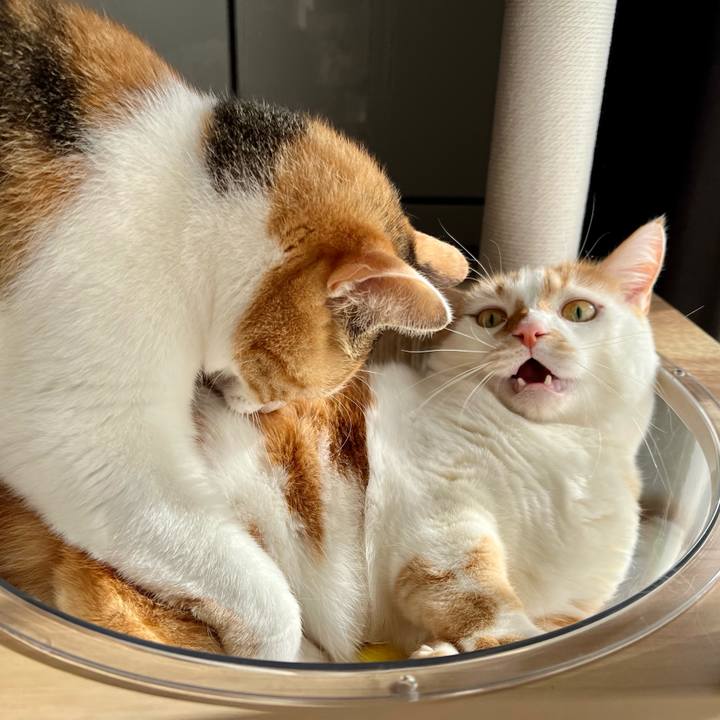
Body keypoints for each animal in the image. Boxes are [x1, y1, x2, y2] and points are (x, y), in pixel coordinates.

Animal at [0, 0, 468, 660]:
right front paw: (274, 658)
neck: (189, 205)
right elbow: (265, 596)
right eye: (301, 388)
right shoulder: (89, 438)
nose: (257, 409)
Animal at [0, 219, 665, 661]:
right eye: (491, 319)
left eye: (579, 311)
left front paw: (448, 652)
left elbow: (538, 624)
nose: (528, 333)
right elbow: (482, 598)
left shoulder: (567, 609)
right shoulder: (442, 527)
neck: (558, 460)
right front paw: (493, 642)